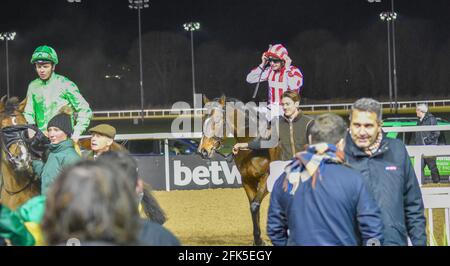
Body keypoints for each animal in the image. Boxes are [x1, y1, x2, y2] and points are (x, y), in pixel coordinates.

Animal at [199, 95, 280, 245]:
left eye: (216, 121)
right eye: (203, 119)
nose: (203, 151)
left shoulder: (267, 179)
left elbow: (255, 205)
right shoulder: (247, 180)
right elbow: (254, 208)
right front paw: (258, 240)